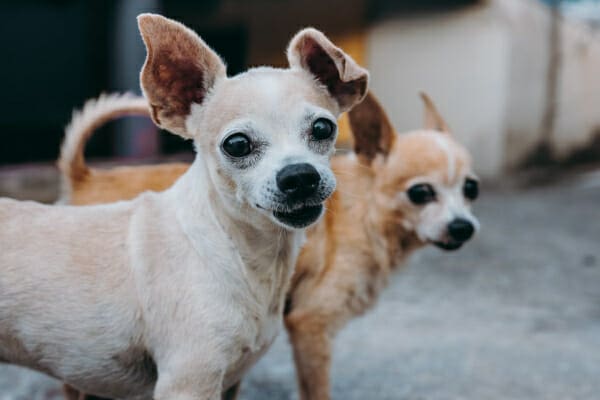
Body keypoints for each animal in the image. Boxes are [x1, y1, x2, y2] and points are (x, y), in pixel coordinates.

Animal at [0, 12, 368, 400]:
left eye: (323, 128)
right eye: (237, 144)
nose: (299, 176)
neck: (241, 255)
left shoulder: (230, 381)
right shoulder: (188, 381)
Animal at [56, 90, 478, 400]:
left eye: (471, 189)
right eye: (420, 193)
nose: (464, 227)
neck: (366, 207)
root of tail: (83, 176)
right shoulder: (310, 326)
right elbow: (317, 391)